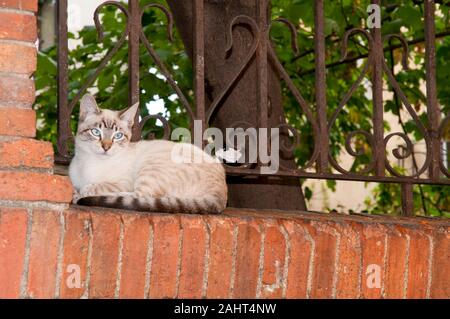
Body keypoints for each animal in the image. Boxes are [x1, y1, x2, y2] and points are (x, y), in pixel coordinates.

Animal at [69, 95, 229, 215]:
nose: (106, 147)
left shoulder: (123, 183)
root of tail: (221, 193)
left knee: (139, 196)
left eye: (118, 135)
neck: (89, 162)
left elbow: (95, 186)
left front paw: (80, 192)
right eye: (96, 132)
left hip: (150, 166)